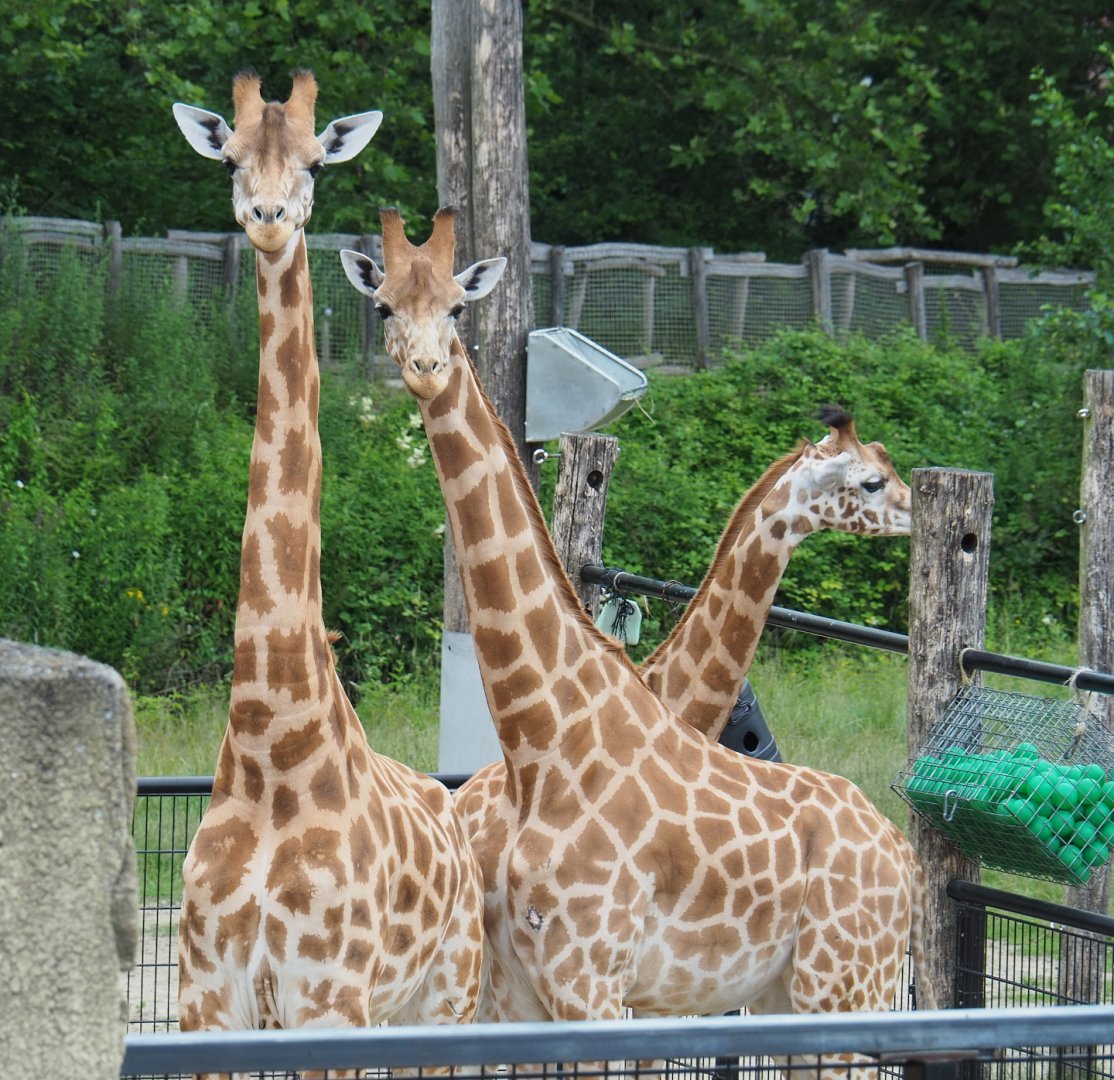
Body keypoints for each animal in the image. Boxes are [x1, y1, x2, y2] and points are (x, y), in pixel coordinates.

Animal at [171, 76, 485, 1069]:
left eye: (313, 162)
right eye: (233, 159)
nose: (269, 220)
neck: (272, 739)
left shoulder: (329, 998)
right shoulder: (207, 1001)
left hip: (446, 999)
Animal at [339, 209, 933, 1072]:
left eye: (456, 306)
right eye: (383, 305)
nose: (422, 369)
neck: (546, 740)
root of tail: (904, 854)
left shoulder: (606, 986)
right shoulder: (552, 988)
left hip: (841, 984)